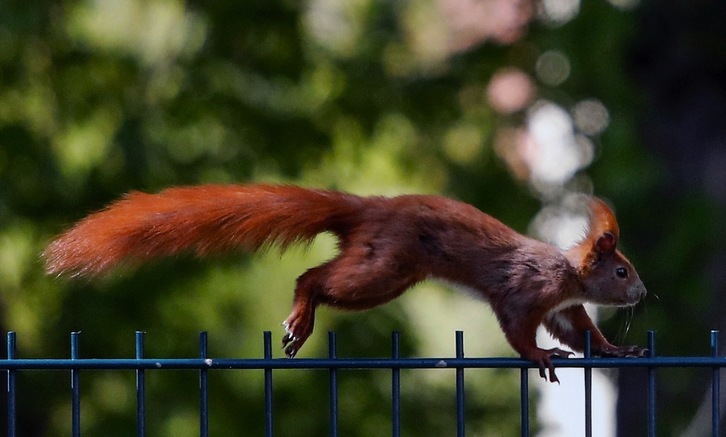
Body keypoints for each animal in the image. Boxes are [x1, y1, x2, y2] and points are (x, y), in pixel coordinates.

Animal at [44, 184, 648, 382]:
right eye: (621, 270)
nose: (642, 294)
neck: (567, 274)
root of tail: (368, 208)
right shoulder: (524, 290)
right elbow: (519, 328)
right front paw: (540, 357)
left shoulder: (564, 307)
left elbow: (582, 333)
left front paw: (618, 349)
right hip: (384, 270)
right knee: (314, 277)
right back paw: (300, 315)